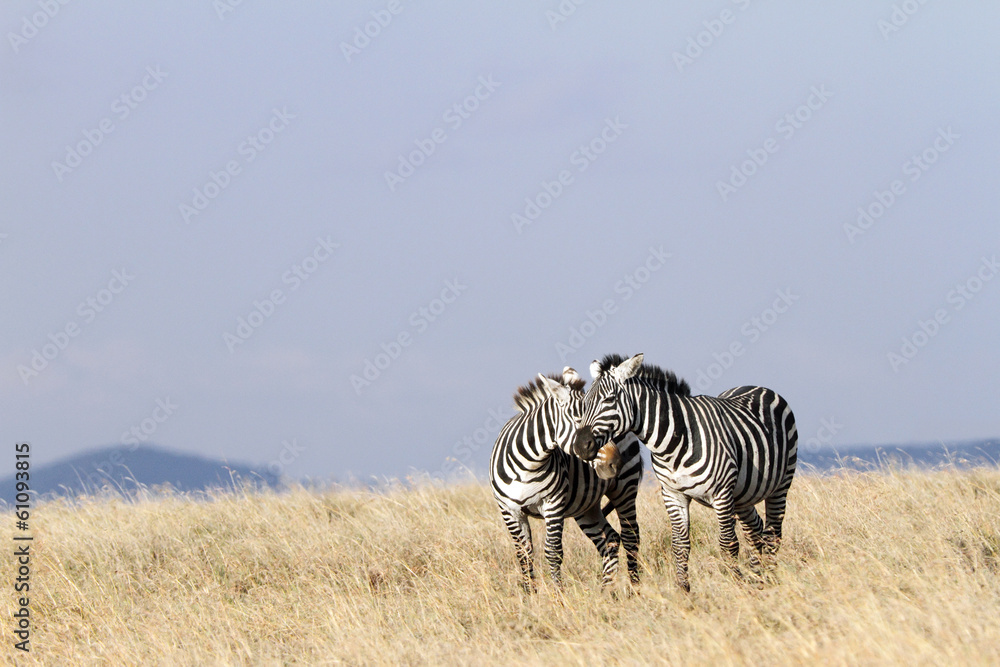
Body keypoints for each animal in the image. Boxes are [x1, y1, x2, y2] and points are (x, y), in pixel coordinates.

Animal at [490, 367, 643, 592]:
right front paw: (528, 595)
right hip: (586, 506)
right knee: (610, 540)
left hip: (625, 489)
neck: (527, 466)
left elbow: (553, 552)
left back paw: (634, 589)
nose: (616, 462)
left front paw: (557, 596)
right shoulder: (509, 510)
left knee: (631, 536)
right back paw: (606, 592)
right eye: (580, 421)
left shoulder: (553, 505)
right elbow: (524, 554)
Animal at [571, 353, 797, 592]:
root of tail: (757, 387)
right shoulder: (673, 495)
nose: (580, 446)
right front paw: (683, 591)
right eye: (584, 404)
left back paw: (768, 579)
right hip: (744, 494)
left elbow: (728, 543)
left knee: (773, 533)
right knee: (756, 530)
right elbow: (680, 545)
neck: (675, 441)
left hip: (780, 485)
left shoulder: (722, 493)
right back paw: (757, 576)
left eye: (610, 399)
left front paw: (735, 585)